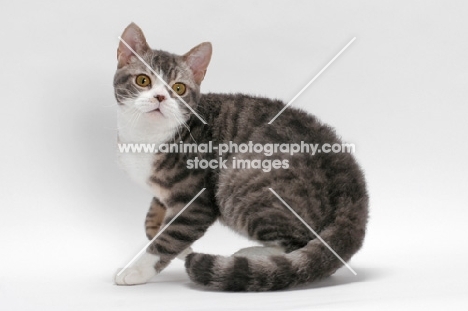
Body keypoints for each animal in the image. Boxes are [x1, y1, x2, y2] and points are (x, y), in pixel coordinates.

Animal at [113, 22, 370, 292]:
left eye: (179, 88)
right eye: (143, 80)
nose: (160, 97)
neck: (146, 136)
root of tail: (354, 192)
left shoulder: (196, 199)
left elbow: (171, 236)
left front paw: (138, 269)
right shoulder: (161, 193)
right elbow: (151, 224)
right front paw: (181, 248)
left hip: (238, 184)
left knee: (299, 242)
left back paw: (251, 256)